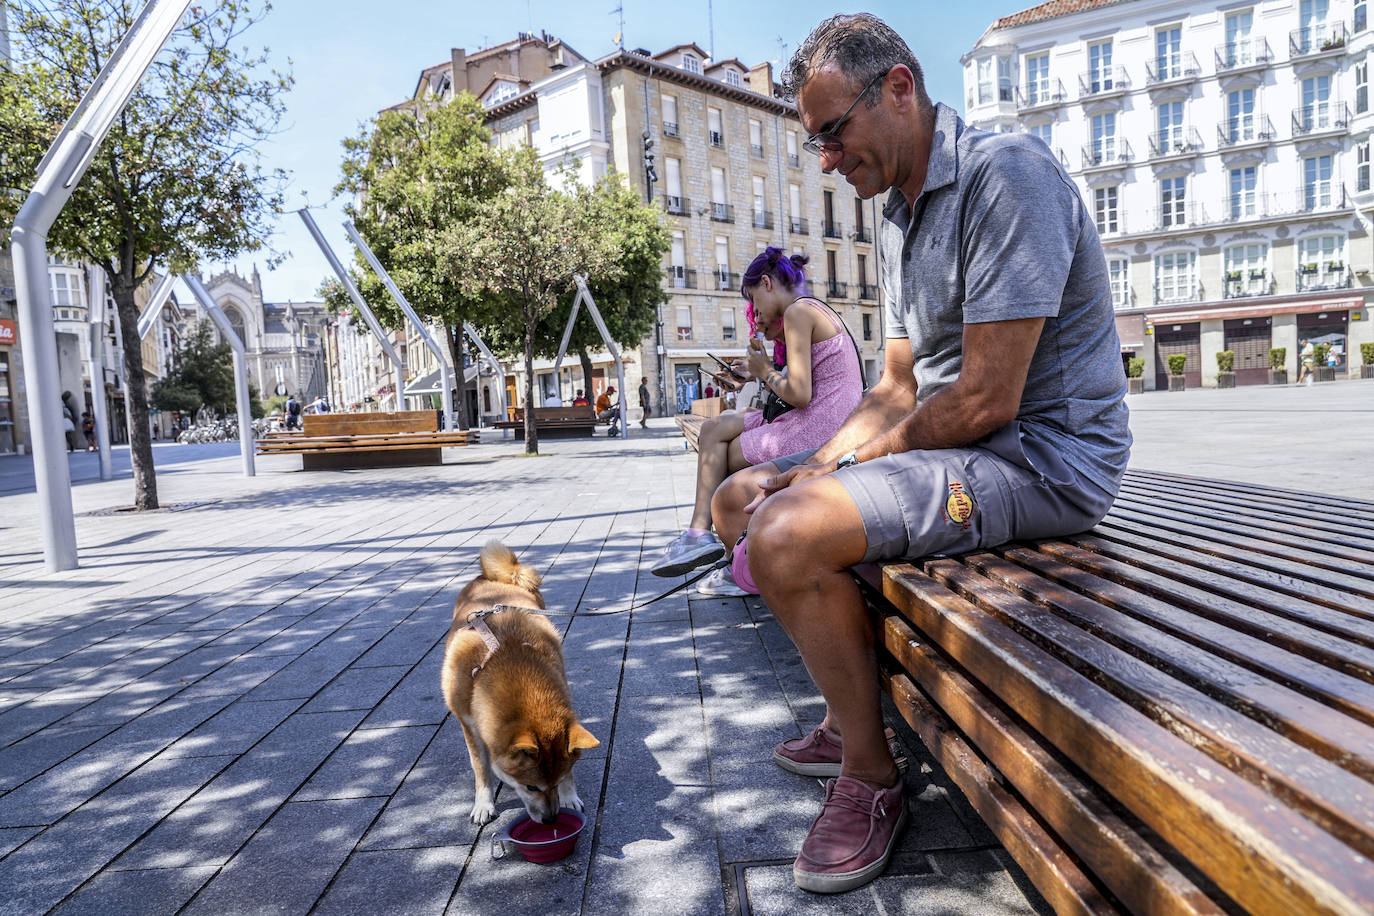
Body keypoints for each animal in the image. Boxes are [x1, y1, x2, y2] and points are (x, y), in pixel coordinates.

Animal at [442, 541, 599, 829]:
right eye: (531, 787)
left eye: (558, 781)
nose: (551, 820)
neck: (501, 657)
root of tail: (494, 577)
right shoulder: (469, 725)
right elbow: (481, 769)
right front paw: (484, 804)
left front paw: (569, 796)